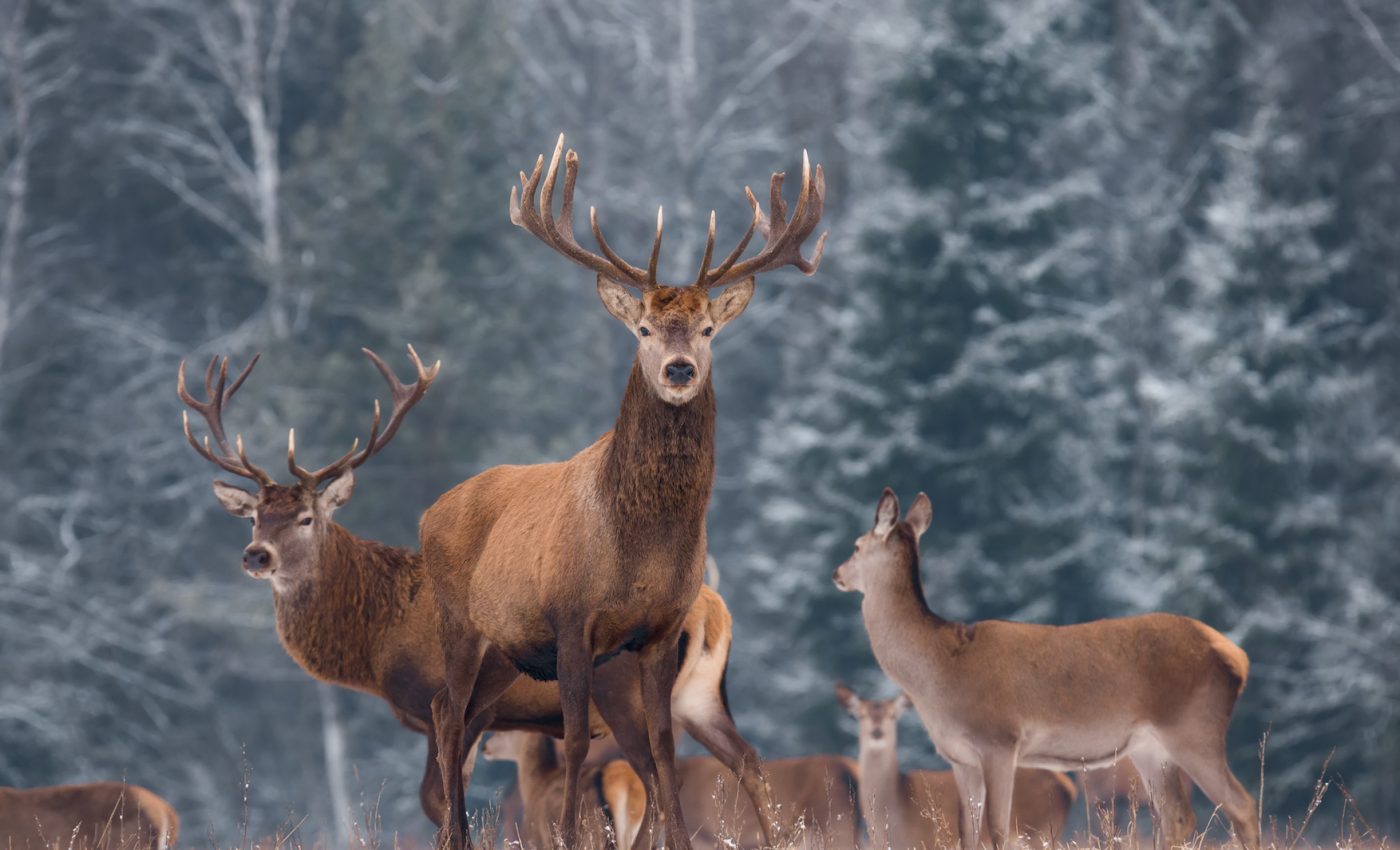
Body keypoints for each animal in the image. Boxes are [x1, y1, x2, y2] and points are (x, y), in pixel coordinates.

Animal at [178, 351, 775, 839]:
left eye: (306, 517)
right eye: (254, 516)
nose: (257, 556)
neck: (376, 642)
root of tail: (715, 610)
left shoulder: (444, 700)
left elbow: (436, 793)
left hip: (619, 687)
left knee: (653, 770)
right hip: (697, 695)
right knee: (743, 761)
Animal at [420, 133, 825, 850]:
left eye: (708, 329)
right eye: (642, 330)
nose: (680, 369)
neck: (638, 544)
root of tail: (429, 512)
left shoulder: (659, 629)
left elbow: (661, 750)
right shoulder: (572, 620)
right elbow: (579, 745)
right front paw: (568, 837)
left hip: (507, 652)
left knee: (461, 716)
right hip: (459, 621)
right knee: (447, 714)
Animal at [834, 684, 1075, 850]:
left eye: (893, 715)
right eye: (860, 715)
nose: (877, 732)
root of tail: (1069, 788)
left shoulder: (926, 839)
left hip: (1039, 831)